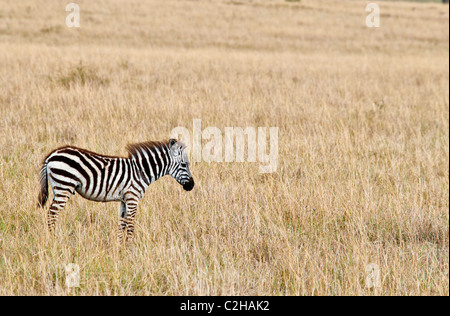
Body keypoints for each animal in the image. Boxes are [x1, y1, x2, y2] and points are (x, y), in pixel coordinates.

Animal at [37, 137, 193, 243]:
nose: (191, 186)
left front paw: (120, 247)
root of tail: (52, 155)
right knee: (52, 213)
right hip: (64, 187)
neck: (142, 171)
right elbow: (130, 225)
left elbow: (122, 224)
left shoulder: (125, 199)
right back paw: (53, 239)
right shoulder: (132, 198)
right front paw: (130, 248)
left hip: (58, 188)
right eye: (184, 164)